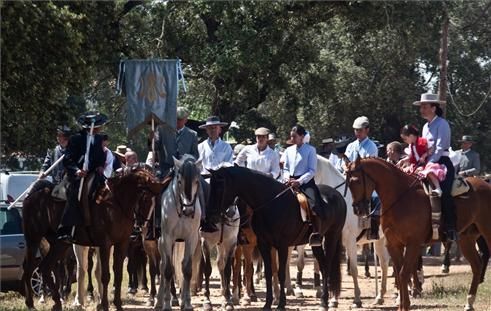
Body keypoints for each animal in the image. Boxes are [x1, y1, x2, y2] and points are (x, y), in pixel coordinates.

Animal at [156, 156, 202, 311]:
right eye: (180, 181)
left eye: (197, 181)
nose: (189, 210)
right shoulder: (168, 238)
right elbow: (168, 270)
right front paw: (166, 304)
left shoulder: (191, 238)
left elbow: (187, 269)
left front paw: (187, 303)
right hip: (161, 242)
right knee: (163, 265)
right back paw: (159, 302)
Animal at [208, 168, 346, 311]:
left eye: (220, 188)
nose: (211, 217)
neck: (271, 204)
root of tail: (337, 195)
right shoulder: (264, 244)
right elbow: (268, 272)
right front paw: (267, 304)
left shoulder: (282, 245)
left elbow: (280, 273)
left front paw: (280, 304)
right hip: (316, 244)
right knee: (323, 266)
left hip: (332, 237)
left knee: (327, 266)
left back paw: (325, 302)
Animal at [290, 157, 390, 308]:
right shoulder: (328, 240)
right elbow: (329, 266)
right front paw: (332, 300)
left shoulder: (349, 241)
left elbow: (353, 269)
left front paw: (357, 299)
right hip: (379, 240)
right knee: (384, 263)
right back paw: (379, 297)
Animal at [346, 158, 491, 311]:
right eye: (348, 182)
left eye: (357, 180)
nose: (358, 209)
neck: (400, 197)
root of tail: (486, 184)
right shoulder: (393, 245)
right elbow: (399, 273)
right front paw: (402, 304)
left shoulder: (413, 244)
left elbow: (404, 273)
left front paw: (405, 305)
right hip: (466, 239)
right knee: (476, 265)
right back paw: (469, 302)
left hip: (486, 232)